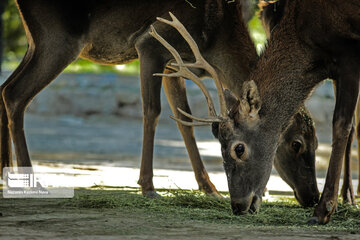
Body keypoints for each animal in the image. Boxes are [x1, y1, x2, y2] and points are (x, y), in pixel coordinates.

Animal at [1, 0, 320, 206]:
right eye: (296, 143)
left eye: (317, 144)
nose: (311, 197)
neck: (216, 37)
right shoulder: (152, 43)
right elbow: (152, 112)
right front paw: (148, 186)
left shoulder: (173, 64)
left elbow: (185, 119)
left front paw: (209, 188)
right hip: (58, 39)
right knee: (15, 94)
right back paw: (33, 181)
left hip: (36, 42)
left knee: (4, 88)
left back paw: (6, 175)